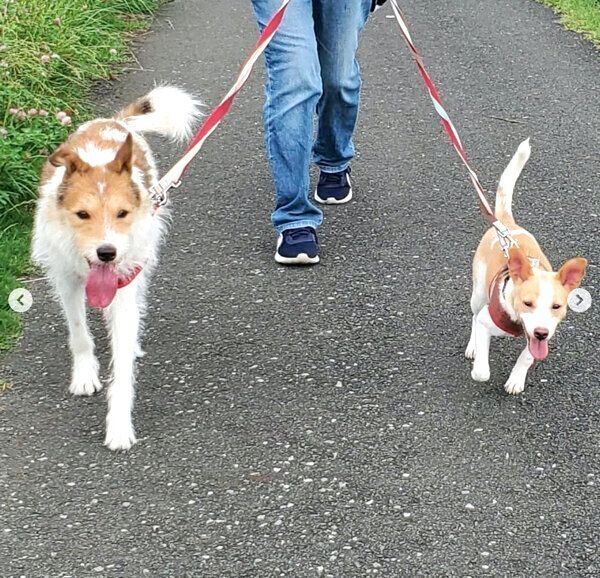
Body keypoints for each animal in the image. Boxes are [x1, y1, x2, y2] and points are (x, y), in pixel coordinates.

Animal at [32, 85, 200, 448]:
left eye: (122, 213)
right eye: (82, 214)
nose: (106, 252)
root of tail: (113, 122)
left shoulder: (123, 283)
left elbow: (122, 367)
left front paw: (119, 425)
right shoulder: (66, 278)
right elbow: (78, 331)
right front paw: (85, 374)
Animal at [466, 138, 588, 394]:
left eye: (556, 306)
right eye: (527, 303)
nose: (541, 332)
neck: (517, 322)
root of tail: (506, 224)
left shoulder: (544, 335)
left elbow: (527, 356)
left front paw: (516, 379)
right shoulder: (486, 321)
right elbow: (482, 371)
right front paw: (478, 366)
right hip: (479, 292)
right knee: (473, 315)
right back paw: (472, 346)